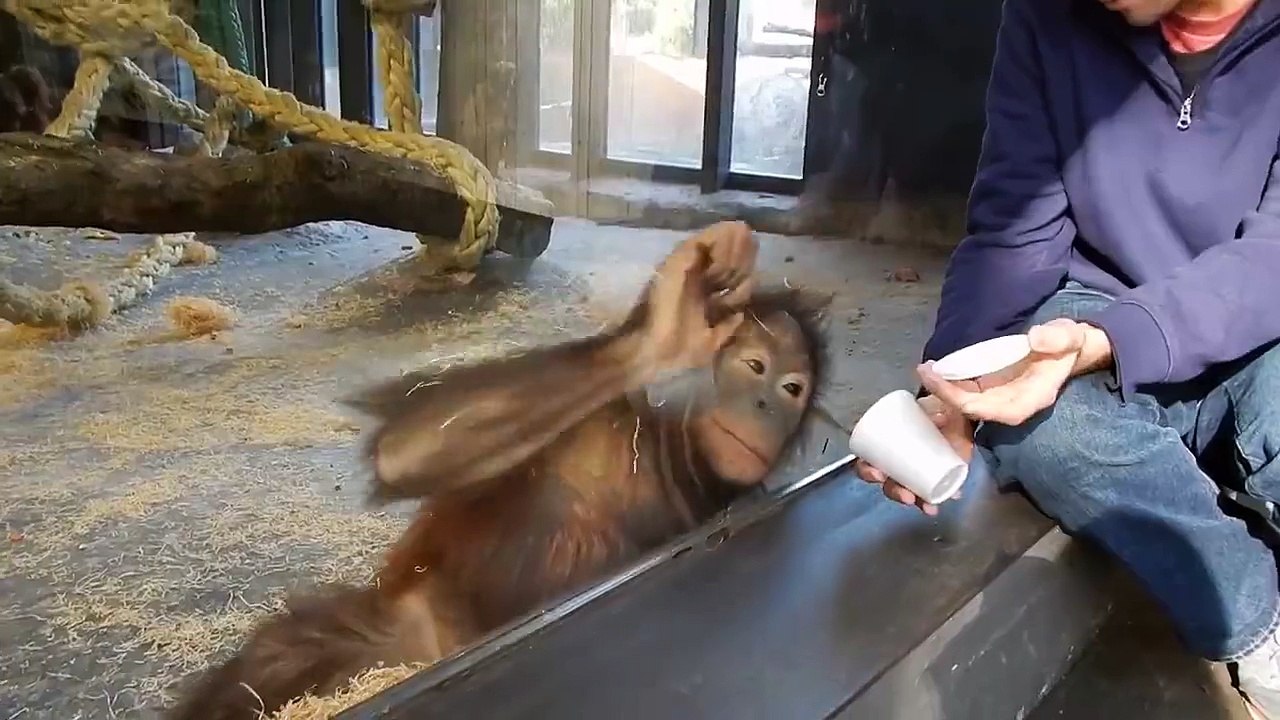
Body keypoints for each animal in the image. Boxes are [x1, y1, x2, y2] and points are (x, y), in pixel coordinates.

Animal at [166, 221, 833, 720]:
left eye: (792, 387)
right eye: (754, 365)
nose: (767, 405)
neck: (674, 460)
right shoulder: (599, 424)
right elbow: (408, 450)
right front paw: (673, 321)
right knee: (278, 657)